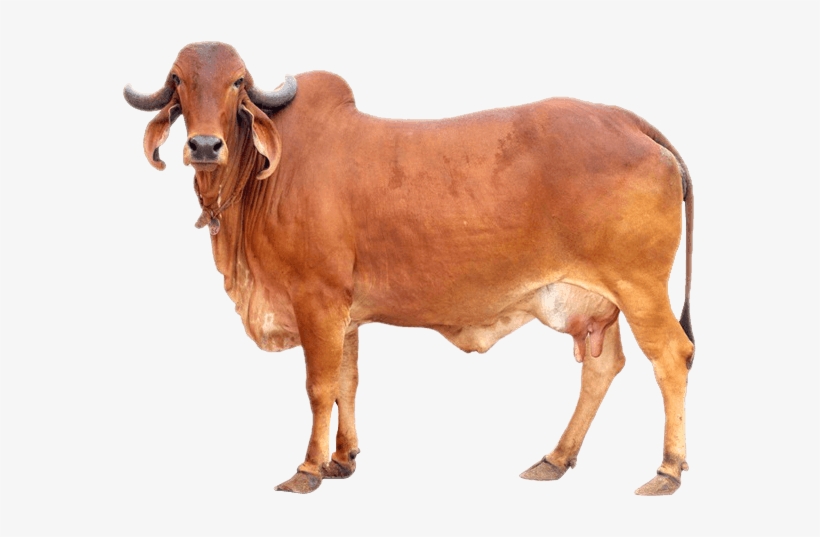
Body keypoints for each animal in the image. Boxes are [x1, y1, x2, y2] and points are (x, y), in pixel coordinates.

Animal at [124, 42, 695, 496]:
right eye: (178, 80)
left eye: (237, 83)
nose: (203, 146)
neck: (262, 178)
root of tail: (627, 120)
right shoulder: (345, 314)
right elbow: (348, 381)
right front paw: (342, 459)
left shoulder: (317, 299)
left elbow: (319, 386)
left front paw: (308, 469)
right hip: (602, 304)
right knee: (603, 368)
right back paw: (555, 458)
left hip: (641, 289)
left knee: (672, 356)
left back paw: (667, 470)